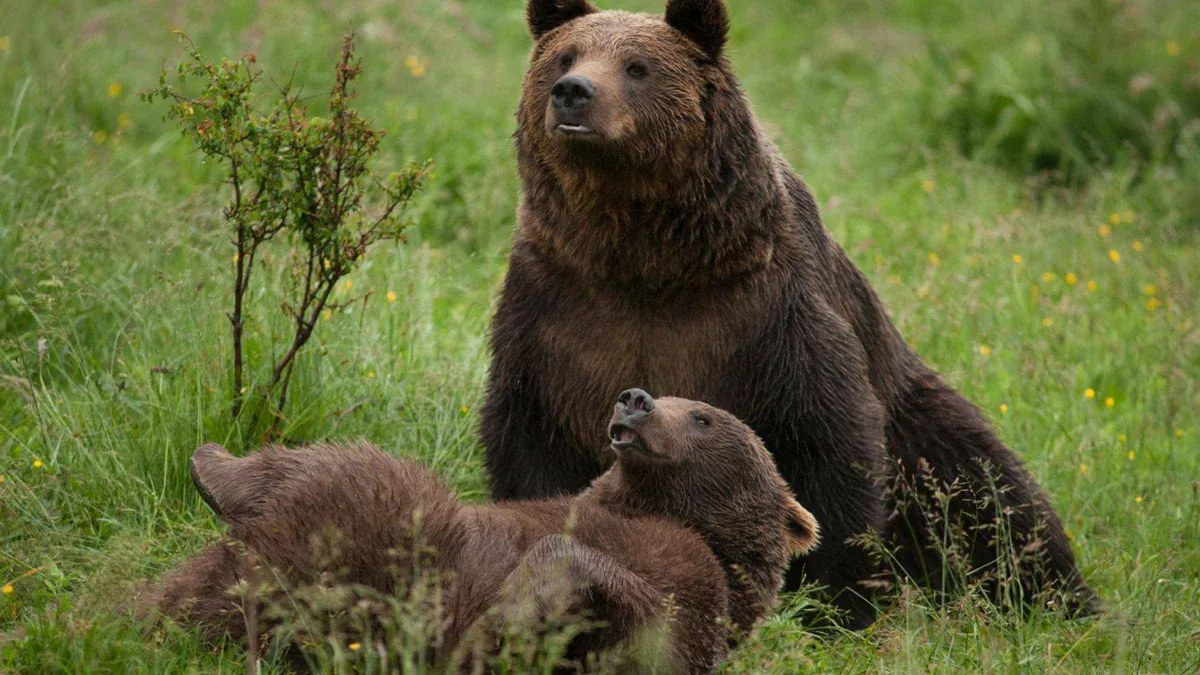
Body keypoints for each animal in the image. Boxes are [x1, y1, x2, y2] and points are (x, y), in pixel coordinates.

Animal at [142, 391, 820, 673]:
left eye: (703, 416)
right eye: (674, 396)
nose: (636, 398)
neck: (662, 509)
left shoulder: (696, 587)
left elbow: (648, 628)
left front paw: (505, 615)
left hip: (391, 570)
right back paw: (212, 465)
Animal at [480, 0, 1098, 629]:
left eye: (636, 66)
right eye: (565, 56)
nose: (573, 92)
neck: (646, 259)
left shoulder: (768, 312)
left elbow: (827, 441)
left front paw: (835, 604)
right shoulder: (555, 312)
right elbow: (530, 439)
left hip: (919, 423)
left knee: (988, 495)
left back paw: (1056, 601)